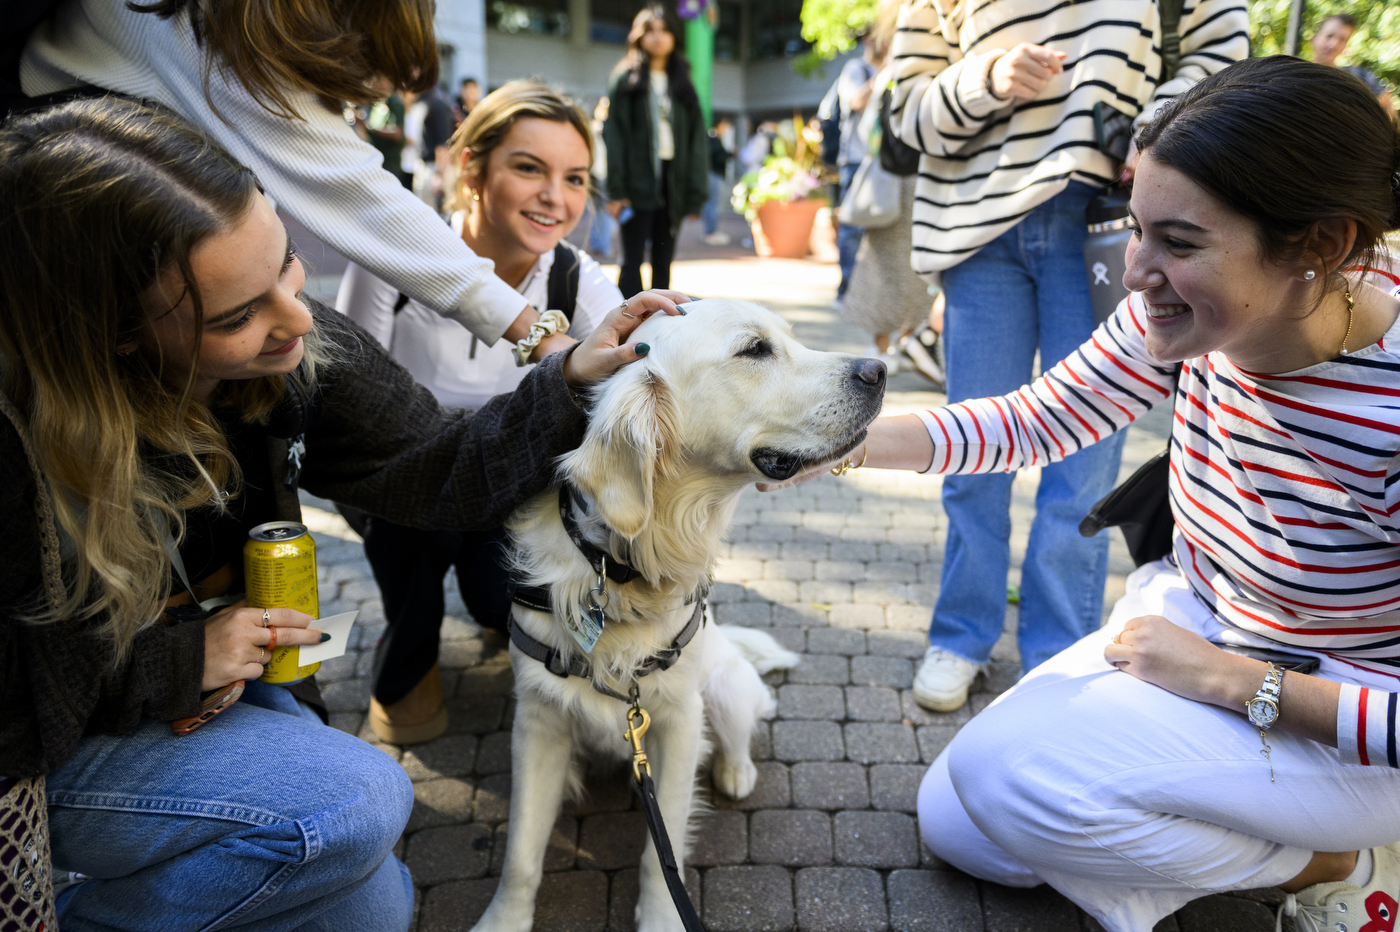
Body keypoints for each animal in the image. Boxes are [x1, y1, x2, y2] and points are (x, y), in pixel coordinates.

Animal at [470, 298, 884, 929]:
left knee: (739, 733)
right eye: (755, 349)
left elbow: (658, 851)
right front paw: (503, 920)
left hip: (726, 690)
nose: (879, 370)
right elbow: (521, 852)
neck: (624, 570)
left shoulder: (680, 721)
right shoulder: (537, 722)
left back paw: (736, 771)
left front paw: (664, 916)